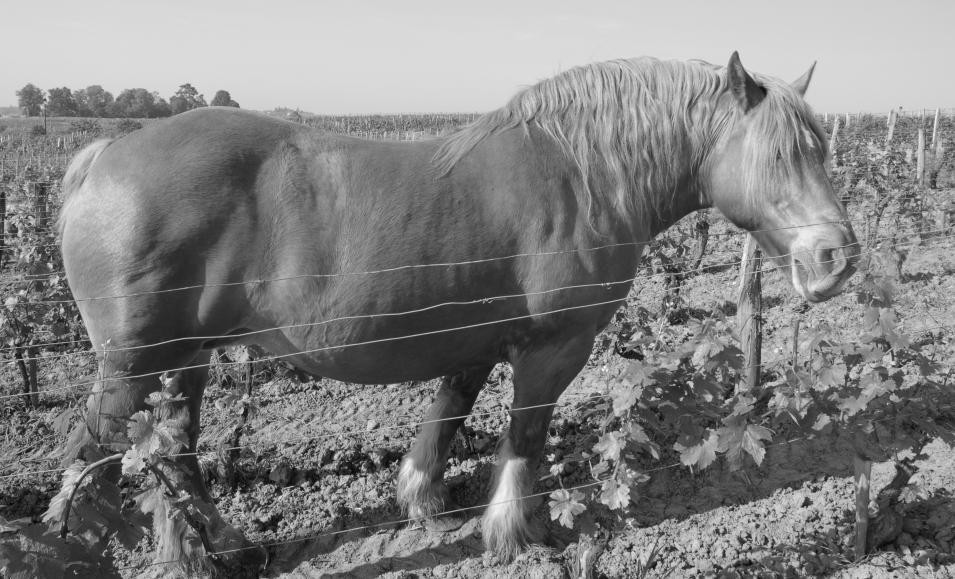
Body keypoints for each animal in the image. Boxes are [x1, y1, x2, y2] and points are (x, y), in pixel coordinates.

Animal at [50, 52, 860, 572]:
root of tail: (104, 156)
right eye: (778, 156)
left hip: (181, 361)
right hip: (133, 368)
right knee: (95, 454)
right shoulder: (554, 348)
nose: (837, 257)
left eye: (822, 148)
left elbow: (446, 418)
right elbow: (524, 435)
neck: (584, 174)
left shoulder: (471, 339)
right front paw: (513, 533)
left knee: (171, 455)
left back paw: (214, 550)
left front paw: (424, 502)